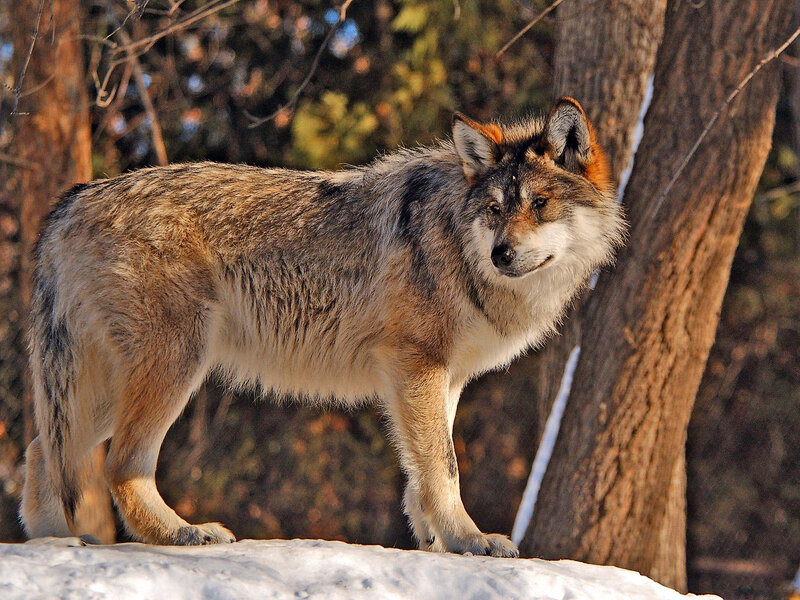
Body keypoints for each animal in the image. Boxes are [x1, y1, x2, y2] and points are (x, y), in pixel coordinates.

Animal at [20, 97, 624, 556]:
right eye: (496, 209)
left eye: (540, 204)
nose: (501, 254)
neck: (455, 242)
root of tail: (72, 201)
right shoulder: (416, 365)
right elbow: (444, 467)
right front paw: (469, 541)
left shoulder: (438, 378)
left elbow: (422, 473)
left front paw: (434, 544)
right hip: (174, 367)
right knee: (119, 465)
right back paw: (183, 535)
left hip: (107, 389)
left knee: (40, 450)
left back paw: (54, 545)